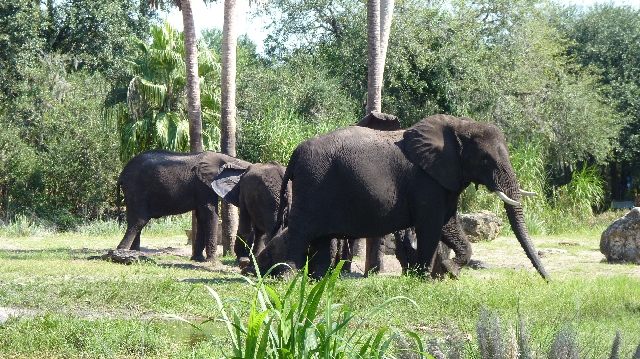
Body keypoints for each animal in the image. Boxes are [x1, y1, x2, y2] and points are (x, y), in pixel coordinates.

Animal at [117, 149, 250, 262]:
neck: (229, 159)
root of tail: (122, 174)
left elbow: (201, 216)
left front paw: (198, 259)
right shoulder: (203, 185)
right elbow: (208, 213)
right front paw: (213, 261)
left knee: (134, 221)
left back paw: (134, 253)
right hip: (136, 189)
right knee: (139, 221)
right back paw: (122, 251)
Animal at [258, 114, 548, 280]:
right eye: (485, 160)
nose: (547, 281)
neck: (460, 125)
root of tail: (294, 154)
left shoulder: (444, 180)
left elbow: (448, 225)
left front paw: (449, 271)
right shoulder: (426, 183)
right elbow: (431, 226)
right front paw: (423, 280)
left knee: (321, 238)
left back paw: (319, 282)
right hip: (312, 184)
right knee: (301, 231)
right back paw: (289, 280)